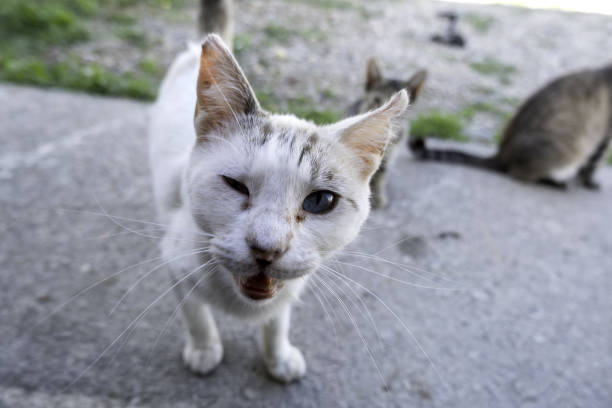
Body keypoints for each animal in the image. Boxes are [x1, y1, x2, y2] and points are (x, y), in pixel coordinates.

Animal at [408, 64, 612, 190]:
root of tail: (501, 154)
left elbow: (589, 164)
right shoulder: (603, 138)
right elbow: (593, 164)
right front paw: (589, 182)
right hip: (565, 150)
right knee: (519, 174)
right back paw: (554, 182)